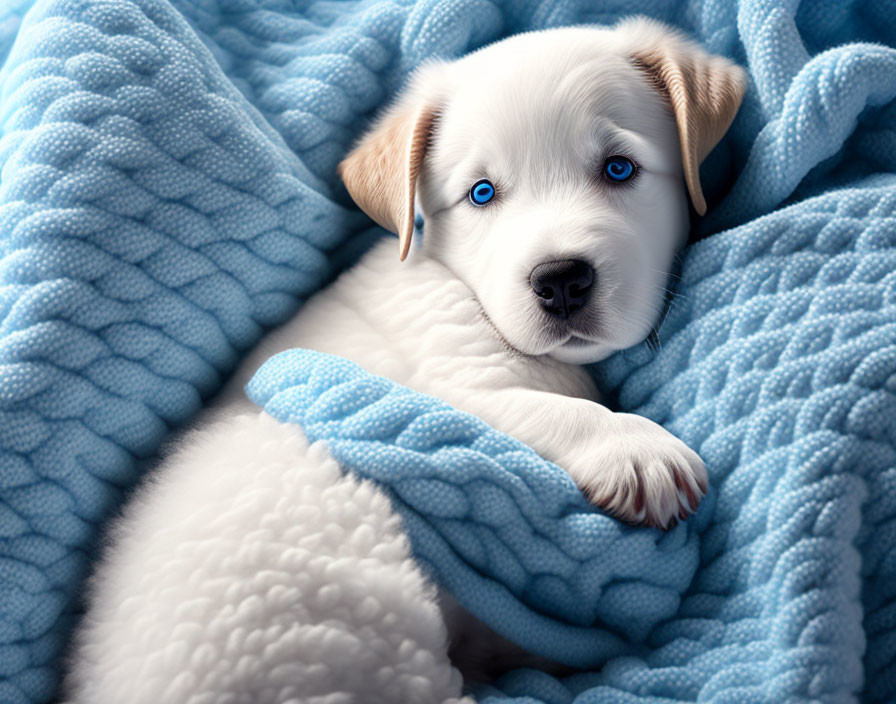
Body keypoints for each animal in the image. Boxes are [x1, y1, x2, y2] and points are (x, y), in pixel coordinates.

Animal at [65, 17, 748, 704]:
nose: (560, 281)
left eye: (619, 168)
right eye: (481, 194)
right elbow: (551, 410)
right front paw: (636, 448)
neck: (460, 283)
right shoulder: (451, 389)